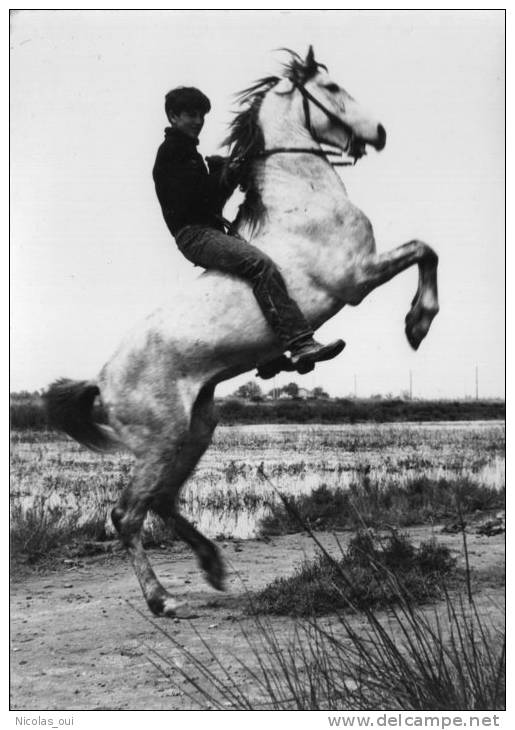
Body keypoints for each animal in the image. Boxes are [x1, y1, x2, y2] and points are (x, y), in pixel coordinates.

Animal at [44, 47, 440, 616]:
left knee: (162, 501)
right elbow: (425, 249)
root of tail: (101, 380)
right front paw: (417, 323)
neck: (305, 197)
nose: (381, 133)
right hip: (161, 440)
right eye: (333, 87)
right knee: (128, 514)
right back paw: (162, 599)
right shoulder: (358, 277)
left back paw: (212, 566)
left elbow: (426, 249)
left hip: (196, 429)